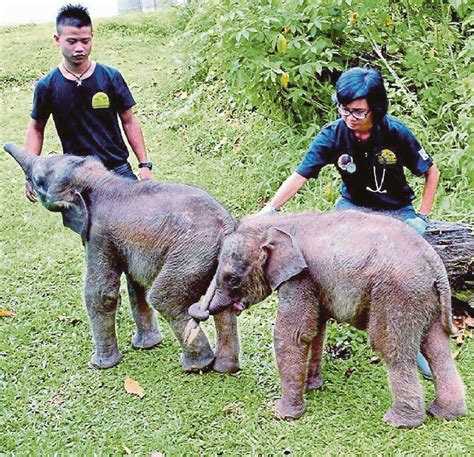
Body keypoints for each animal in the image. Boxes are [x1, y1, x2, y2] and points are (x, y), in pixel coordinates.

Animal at [3, 143, 239, 374]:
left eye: (39, 180)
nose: (5, 146)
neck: (99, 179)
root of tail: (227, 227)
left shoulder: (99, 235)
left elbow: (100, 294)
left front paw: (100, 365)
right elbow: (136, 286)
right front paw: (146, 345)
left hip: (192, 255)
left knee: (165, 299)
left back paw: (196, 366)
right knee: (221, 304)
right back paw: (225, 368)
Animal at [189, 210, 466, 428]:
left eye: (232, 279)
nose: (198, 312)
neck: (282, 221)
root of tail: (436, 265)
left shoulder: (300, 277)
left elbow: (292, 335)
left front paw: (283, 415)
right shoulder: (315, 282)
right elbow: (315, 330)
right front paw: (311, 387)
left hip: (398, 295)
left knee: (391, 348)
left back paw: (400, 422)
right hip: (425, 298)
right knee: (437, 347)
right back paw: (445, 414)